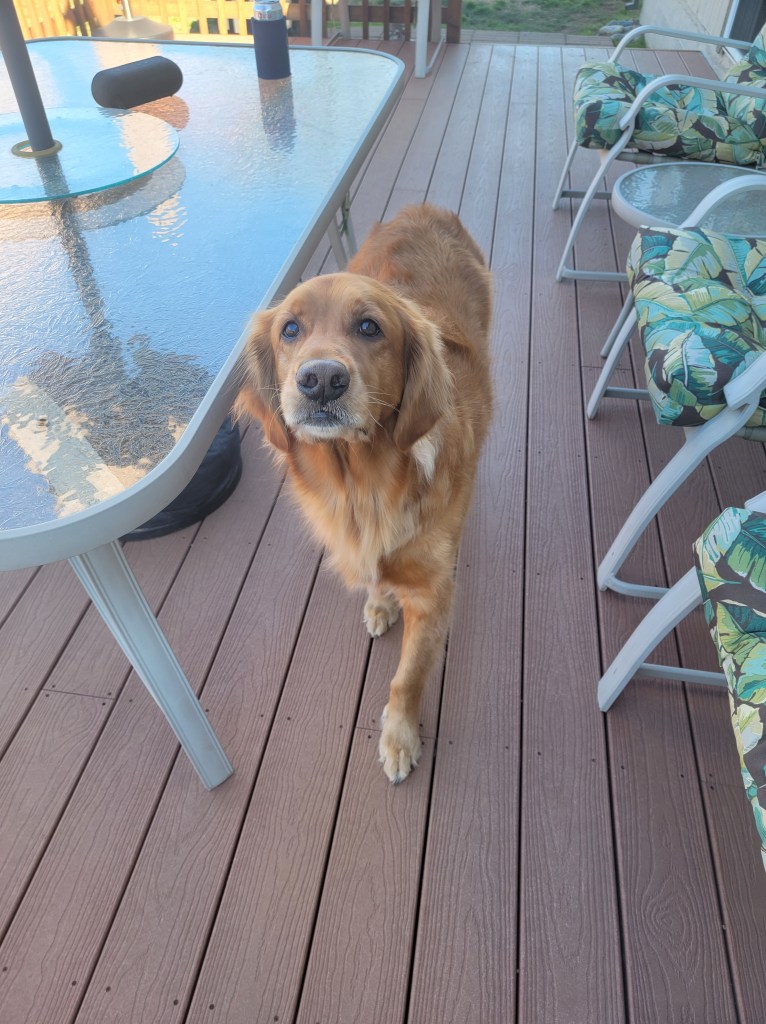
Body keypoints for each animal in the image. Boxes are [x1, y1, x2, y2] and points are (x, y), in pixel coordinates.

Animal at [236, 204, 493, 782]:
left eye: (370, 327)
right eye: (290, 329)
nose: (321, 379)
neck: (364, 487)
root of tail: (425, 208)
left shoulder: (434, 591)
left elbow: (407, 676)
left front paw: (398, 739)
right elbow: (377, 578)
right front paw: (378, 602)